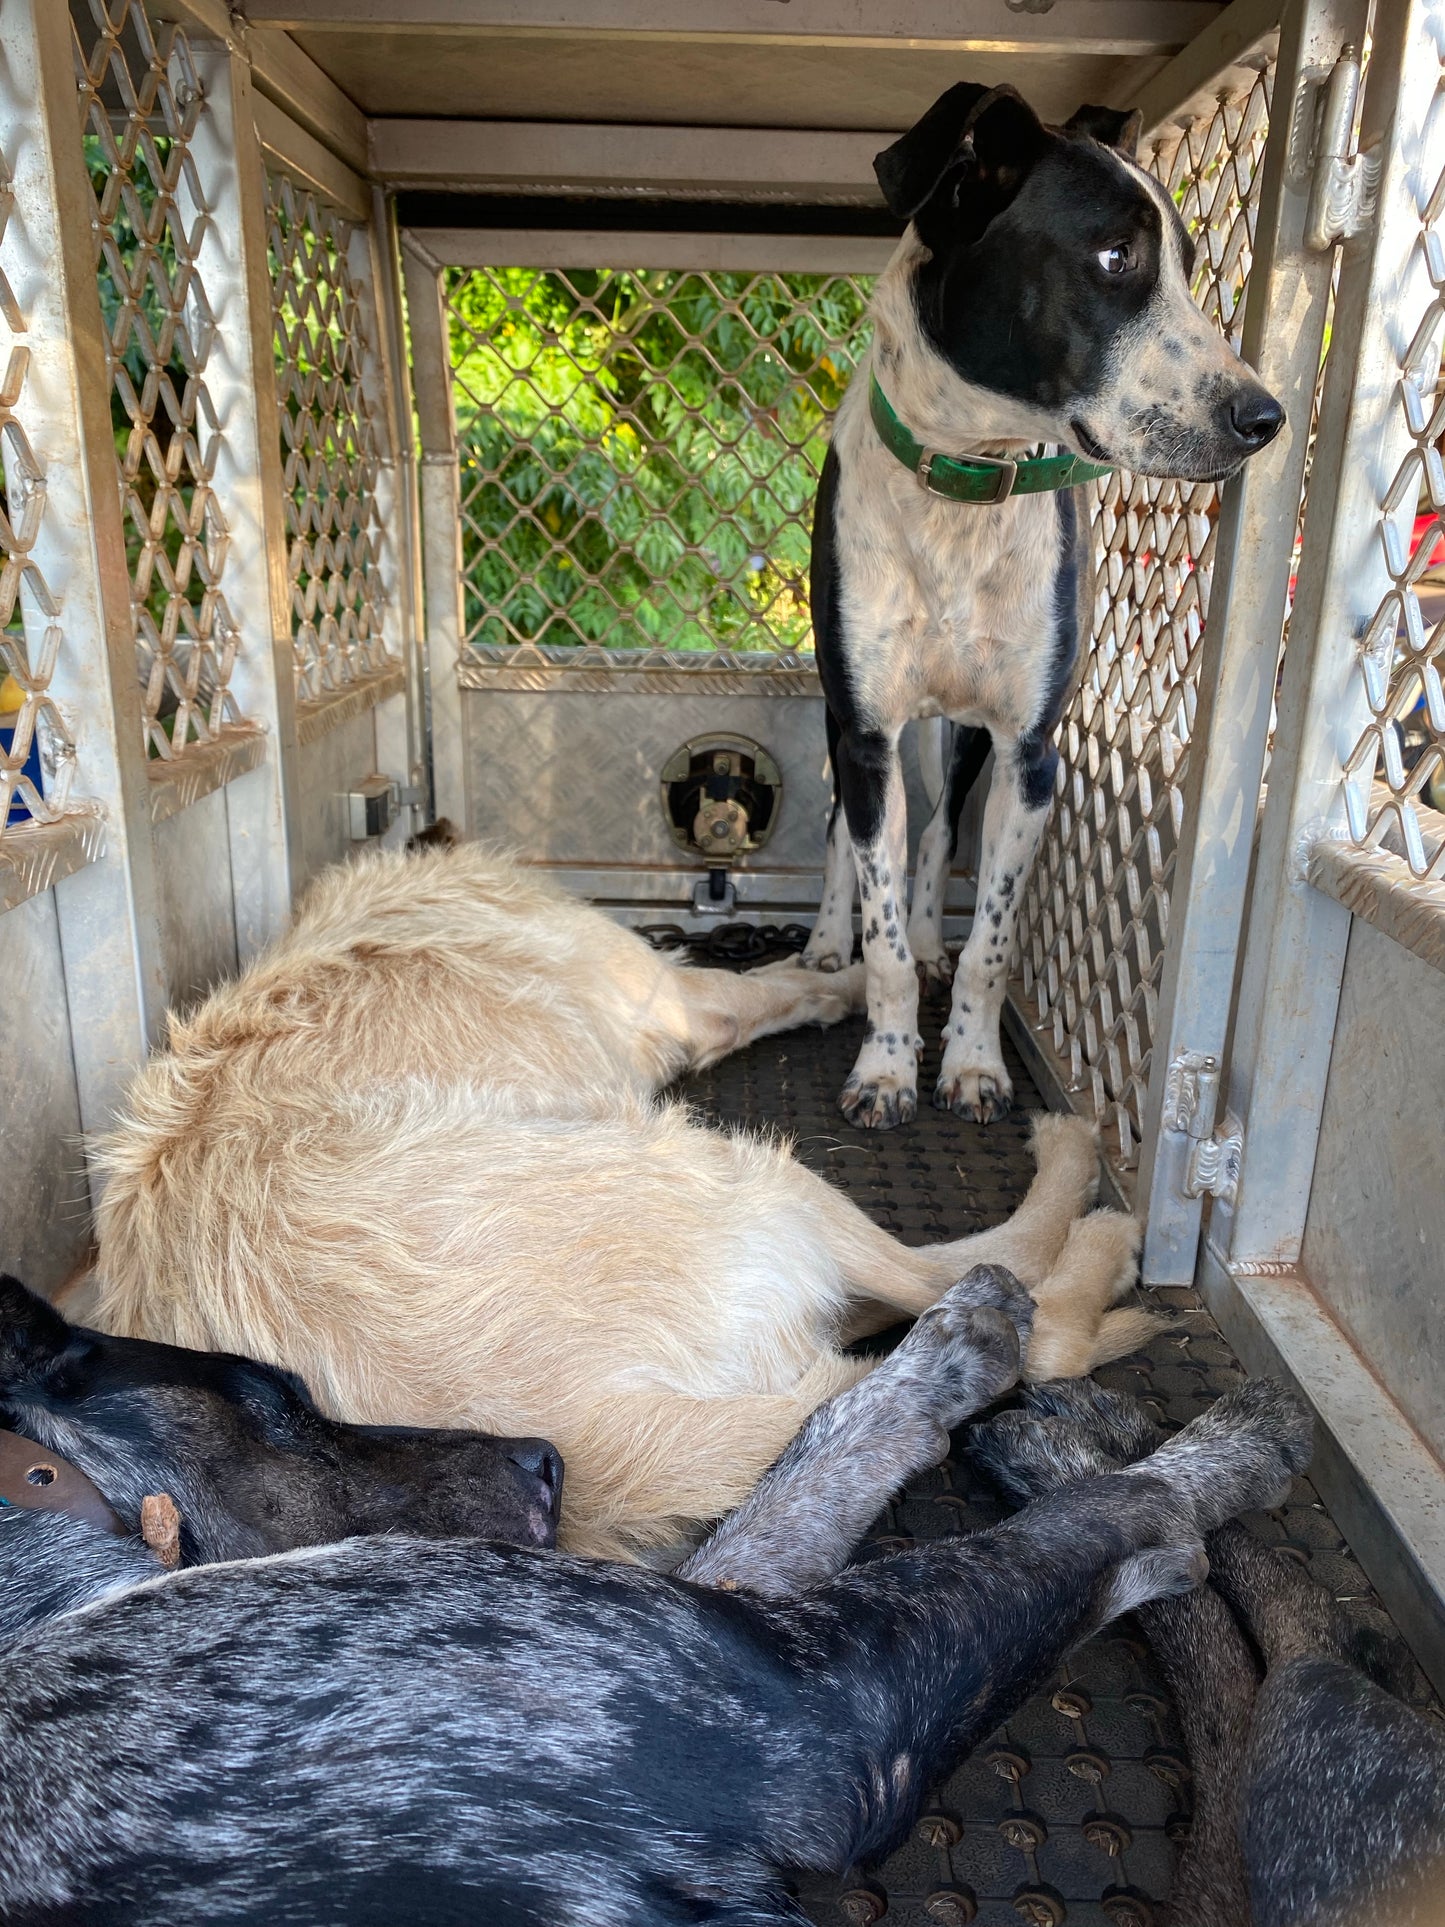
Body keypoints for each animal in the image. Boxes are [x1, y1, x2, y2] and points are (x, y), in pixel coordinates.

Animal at [805, 86, 1287, 1125]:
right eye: (1112, 257)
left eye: (1188, 265)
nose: (1265, 419)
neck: (961, 483)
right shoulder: (864, 733)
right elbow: (878, 932)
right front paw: (884, 1065)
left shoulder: (1029, 755)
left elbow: (987, 944)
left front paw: (971, 1061)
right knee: (840, 836)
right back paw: (824, 940)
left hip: (965, 737)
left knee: (937, 830)